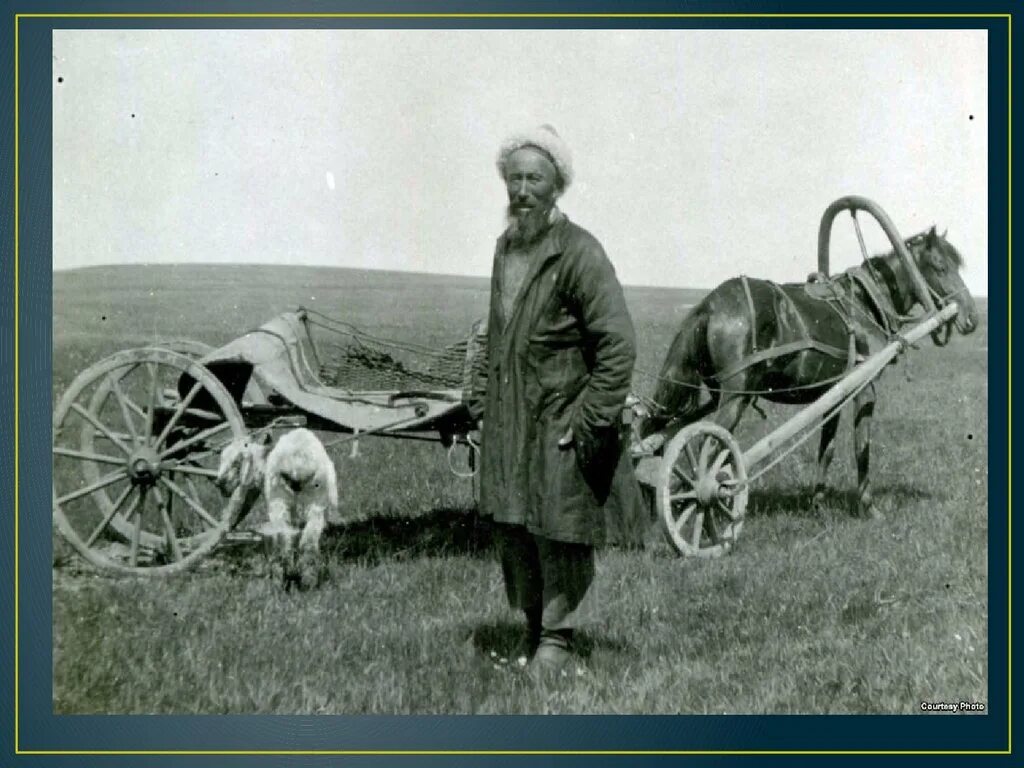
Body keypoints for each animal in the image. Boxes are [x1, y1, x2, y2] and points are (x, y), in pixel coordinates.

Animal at [217, 428, 339, 589]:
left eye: (236, 463)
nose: (218, 484)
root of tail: (298, 463)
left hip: (279, 504)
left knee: (284, 544)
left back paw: (281, 580)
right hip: (315, 505)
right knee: (308, 545)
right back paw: (308, 582)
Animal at [634, 225, 978, 520]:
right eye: (940, 266)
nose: (972, 318)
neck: (864, 302)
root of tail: (710, 304)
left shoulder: (833, 394)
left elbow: (827, 448)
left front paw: (818, 503)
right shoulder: (864, 388)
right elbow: (861, 448)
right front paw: (868, 506)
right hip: (733, 398)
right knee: (711, 449)